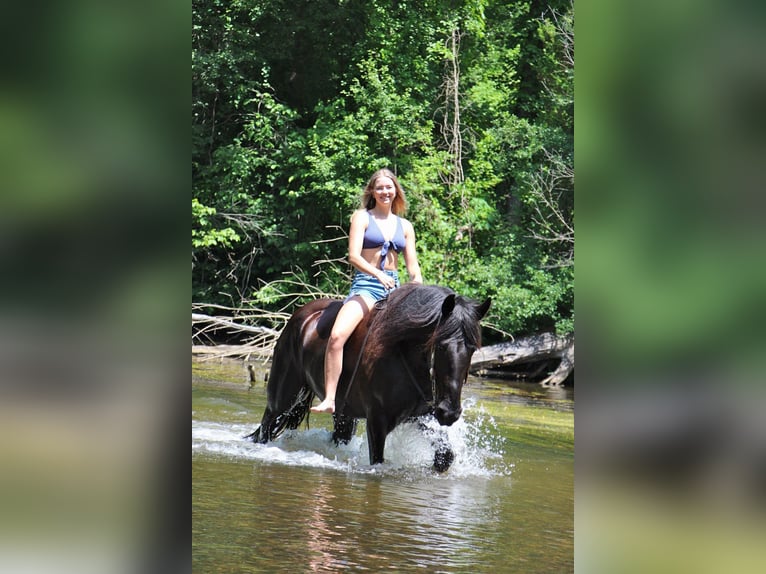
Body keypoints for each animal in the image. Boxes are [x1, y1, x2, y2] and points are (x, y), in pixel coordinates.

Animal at [246, 284, 492, 472]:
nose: (449, 412)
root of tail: (301, 316)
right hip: (282, 398)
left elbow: (445, 456)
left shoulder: (418, 416)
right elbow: (378, 462)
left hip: (343, 414)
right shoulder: (377, 421)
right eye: (440, 346)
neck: (401, 352)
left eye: (472, 348)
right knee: (266, 427)